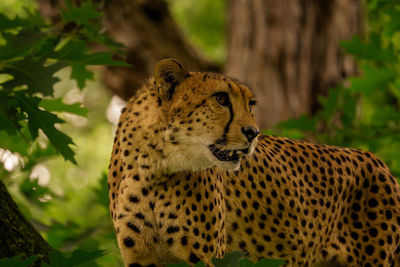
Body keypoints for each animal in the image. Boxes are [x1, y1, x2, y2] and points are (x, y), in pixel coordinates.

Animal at [108, 59, 400, 267]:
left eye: (250, 104)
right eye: (221, 99)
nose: (253, 133)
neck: (153, 165)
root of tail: (378, 161)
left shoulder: (204, 257)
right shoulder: (142, 258)